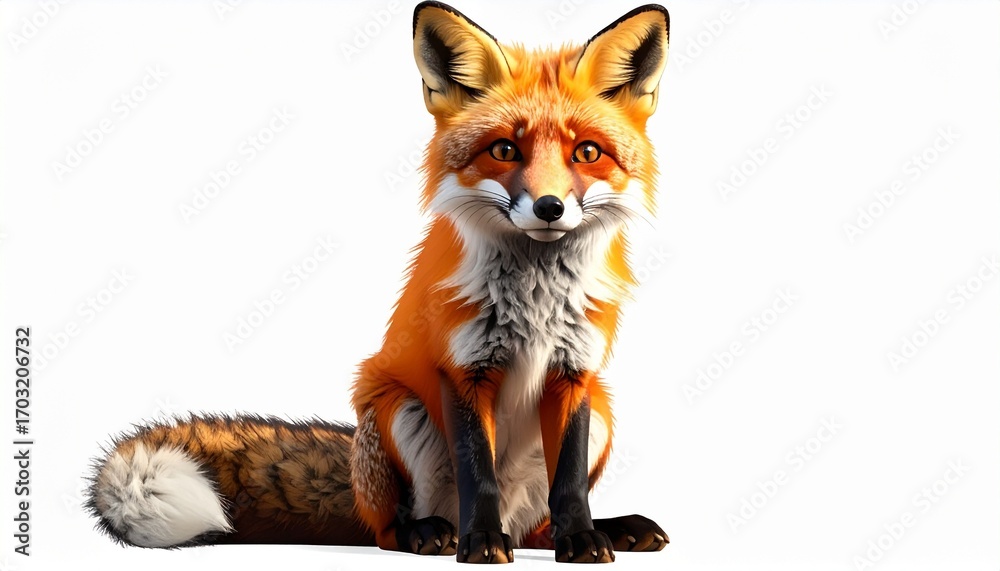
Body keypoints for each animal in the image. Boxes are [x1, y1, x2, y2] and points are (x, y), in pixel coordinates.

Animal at [87, 1, 671, 564]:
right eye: (505, 150)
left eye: (587, 152)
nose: (550, 208)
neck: (535, 300)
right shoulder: (462, 369)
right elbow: (476, 471)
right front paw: (482, 545)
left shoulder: (575, 372)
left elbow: (569, 483)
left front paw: (584, 541)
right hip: (396, 411)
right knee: (391, 530)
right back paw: (433, 533)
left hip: (602, 413)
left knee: (538, 525)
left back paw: (603, 529)